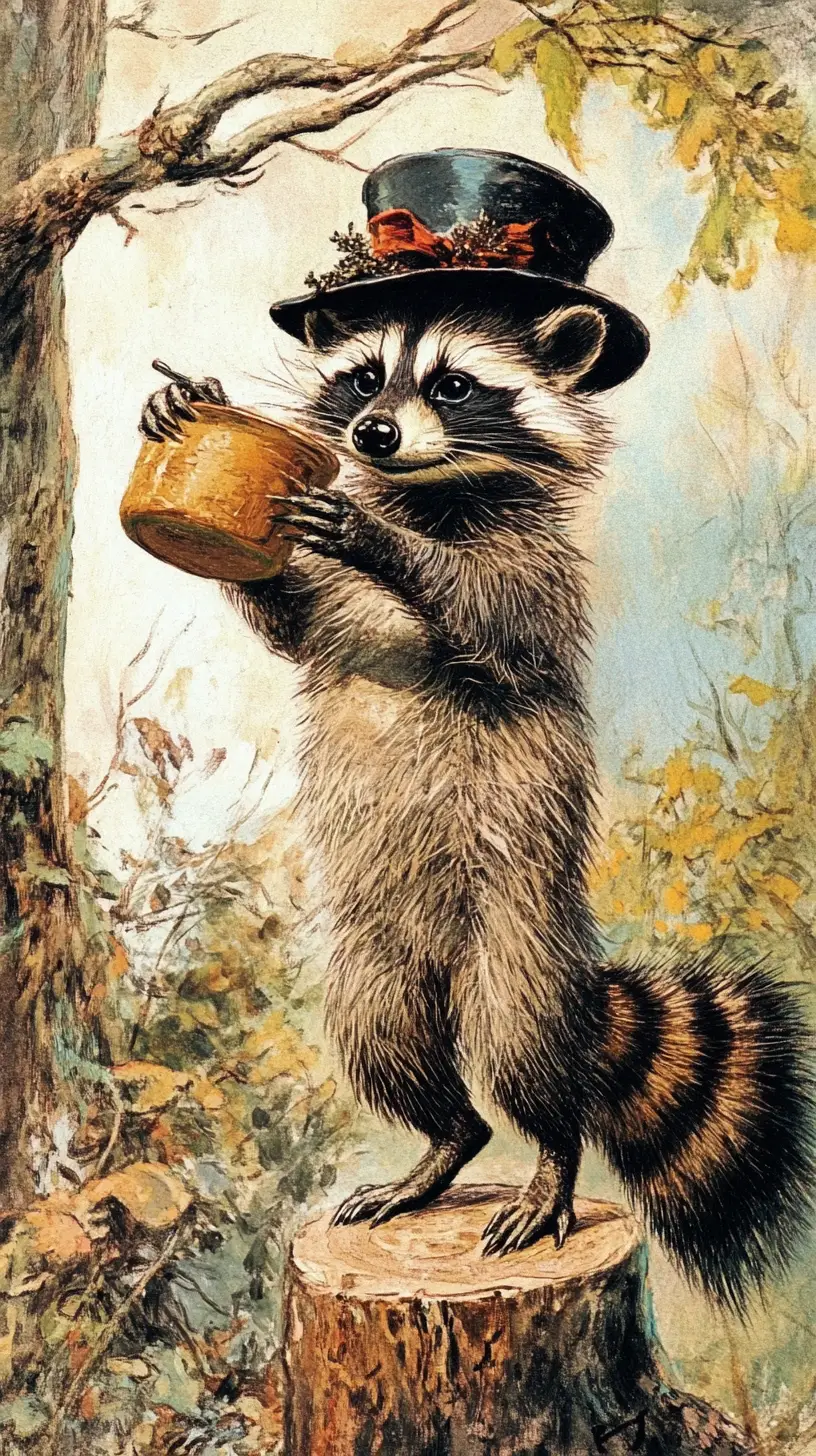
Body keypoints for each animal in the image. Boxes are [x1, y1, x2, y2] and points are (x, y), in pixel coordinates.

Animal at [142, 296, 815, 1306]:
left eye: (453, 385)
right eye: (364, 377)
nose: (372, 435)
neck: (431, 495)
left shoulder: (539, 569)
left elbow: (494, 620)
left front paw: (381, 540)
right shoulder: (334, 598)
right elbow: (288, 614)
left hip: (518, 925)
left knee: (528, 1054)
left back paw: (552, 1161)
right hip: (376, 959)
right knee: (388, 1041)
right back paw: (444, 1142)